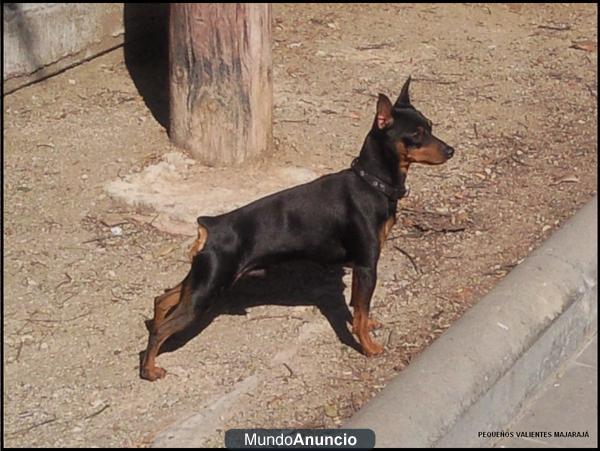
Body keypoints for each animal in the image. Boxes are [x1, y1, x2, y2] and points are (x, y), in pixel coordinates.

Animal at [141, 77, 454, 382]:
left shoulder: (359, 268)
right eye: (416, 134)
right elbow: (361, 310)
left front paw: (364, 324)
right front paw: (368, 346)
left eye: (430, 126)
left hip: (202, 279)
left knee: (162, 299)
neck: (371, 182)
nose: (451, 150)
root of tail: (210, 225)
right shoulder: (367, 265)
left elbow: (359, 306)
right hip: (208, 289)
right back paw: (149, 370)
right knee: (162, 327)